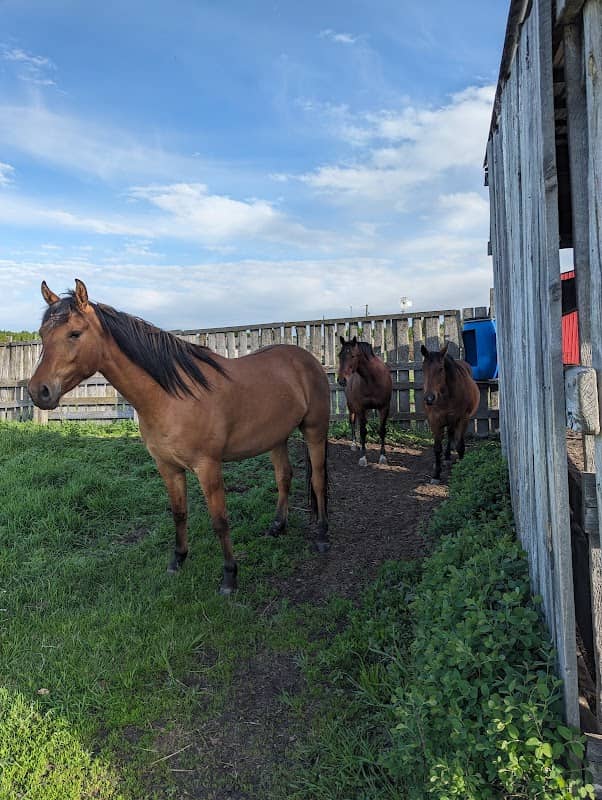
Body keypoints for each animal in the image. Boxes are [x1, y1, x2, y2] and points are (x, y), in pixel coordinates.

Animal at [27, 279, 331, 595]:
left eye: (74, 333)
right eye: (43, 334)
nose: (39, 391)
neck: (171, 396)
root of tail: (307, 360)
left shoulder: (208, 467)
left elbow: (219, 521)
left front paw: (229, 576)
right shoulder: (167, 467)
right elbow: (179, 513)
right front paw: (178, 560)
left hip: (315, 431)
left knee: (318, 480)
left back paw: (322, 535)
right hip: (276, 438)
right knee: (284, 476)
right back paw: (277, 526)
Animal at [337, 336, 393, 467]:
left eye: (352, 356)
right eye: (339, 355)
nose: (341, 380)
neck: (373, 379)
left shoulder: (384, 407)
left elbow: (382, 430)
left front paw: (383, 457)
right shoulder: (360, 408)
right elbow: (363, 431)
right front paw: (363, 458)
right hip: (351, 407)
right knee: (352, 422)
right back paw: (354, 444)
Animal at [420, 342, 480, 483]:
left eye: (441, 369)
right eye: (423, 369)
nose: (429, 398)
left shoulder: (463, 419)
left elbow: (459, 445)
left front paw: (462, 468)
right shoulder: (435, 420)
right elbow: (437, 448)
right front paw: (436, 475)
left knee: (453, 436)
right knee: (450, 434)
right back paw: (446, 458)